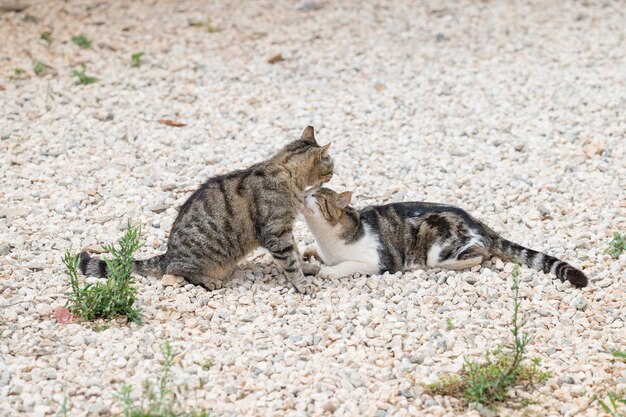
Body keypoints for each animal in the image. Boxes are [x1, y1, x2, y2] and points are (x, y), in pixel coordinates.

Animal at [80, 125, 334, 294]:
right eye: (331, 163)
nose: (334, 172)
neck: (287, 174)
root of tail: (168, 253)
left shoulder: (285, 230)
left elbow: (296, 253)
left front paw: (306, 268)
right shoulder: (276, 232)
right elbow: (290, 261)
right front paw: (301, 284)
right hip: (200, 259)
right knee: (175, 270)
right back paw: (208, 280)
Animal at [300, 188, 588, 288]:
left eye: (315, 195)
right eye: (309, 191)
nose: (302, 194)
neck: (327, 240)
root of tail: (480, 223)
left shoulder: (378, 261)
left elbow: (346, 265)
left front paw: (329, 271)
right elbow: (311, 251)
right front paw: (309, 253)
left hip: (437, 238)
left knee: (480, 255)